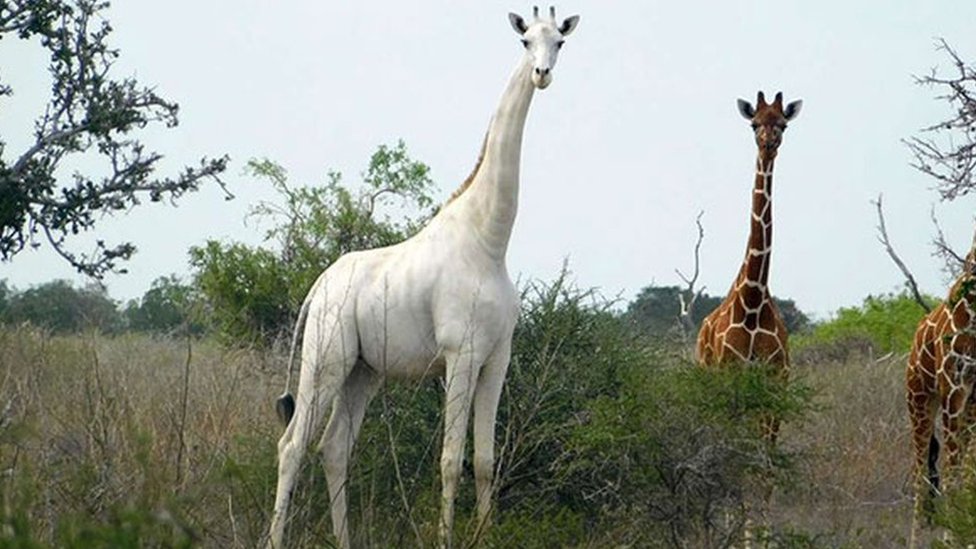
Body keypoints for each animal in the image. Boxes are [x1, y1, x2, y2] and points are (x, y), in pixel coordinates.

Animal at [264, 7, 580, 548]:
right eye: (524, 41)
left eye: (559, 41)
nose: (542, 74)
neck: (489, 241)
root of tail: (317, 288)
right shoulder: (460, 354)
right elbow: (451, 460)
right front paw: (446, 539)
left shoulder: (497, 358)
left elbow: (485, 460)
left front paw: (484, 536)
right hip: (326, 358)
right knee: (292, 445)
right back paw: (275, 539)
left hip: (363, 371)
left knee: (333, 447)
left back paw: (346, 541)